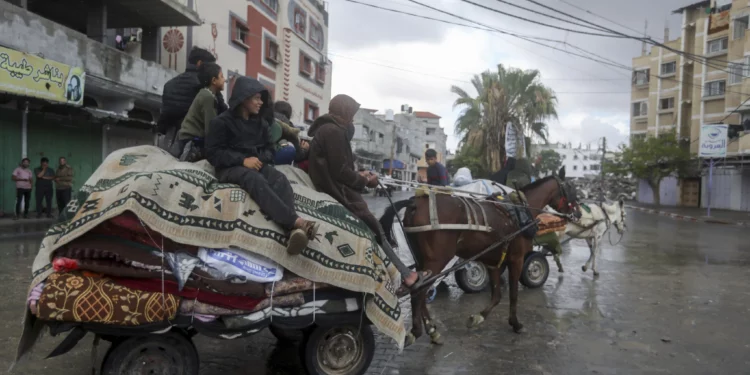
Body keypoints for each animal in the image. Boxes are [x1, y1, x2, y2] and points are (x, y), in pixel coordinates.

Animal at [378, 170, 580, 346]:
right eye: (571, 190)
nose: (577, 214)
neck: (521, 211)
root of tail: (414, 204)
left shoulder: (494, 262)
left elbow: (497, 295)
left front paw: (477, 318)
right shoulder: (516, 259)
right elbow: (513, 294)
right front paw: (516, 323)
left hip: (422, 260)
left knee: (418, 289)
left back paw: (432, 331)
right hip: (437, 260)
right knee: (418, 292)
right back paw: (417, 331)